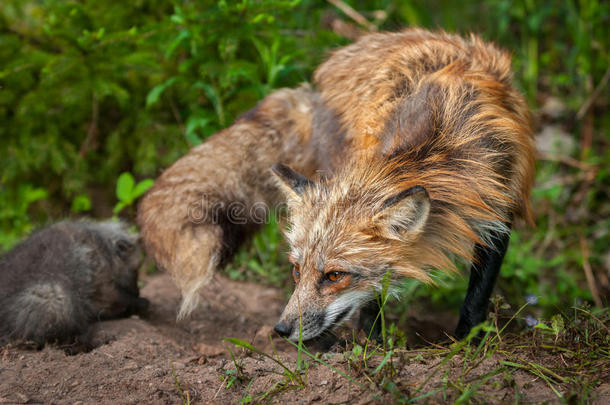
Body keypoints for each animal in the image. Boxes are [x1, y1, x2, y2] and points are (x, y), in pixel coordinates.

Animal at [138, 28, 532, 340]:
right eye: (296, 271)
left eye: (334, 276)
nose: (280, 330)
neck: (444, 142)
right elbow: (372, 301)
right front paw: (373, 349)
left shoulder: (498, 212)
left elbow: (476, 300)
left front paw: (468, 345)